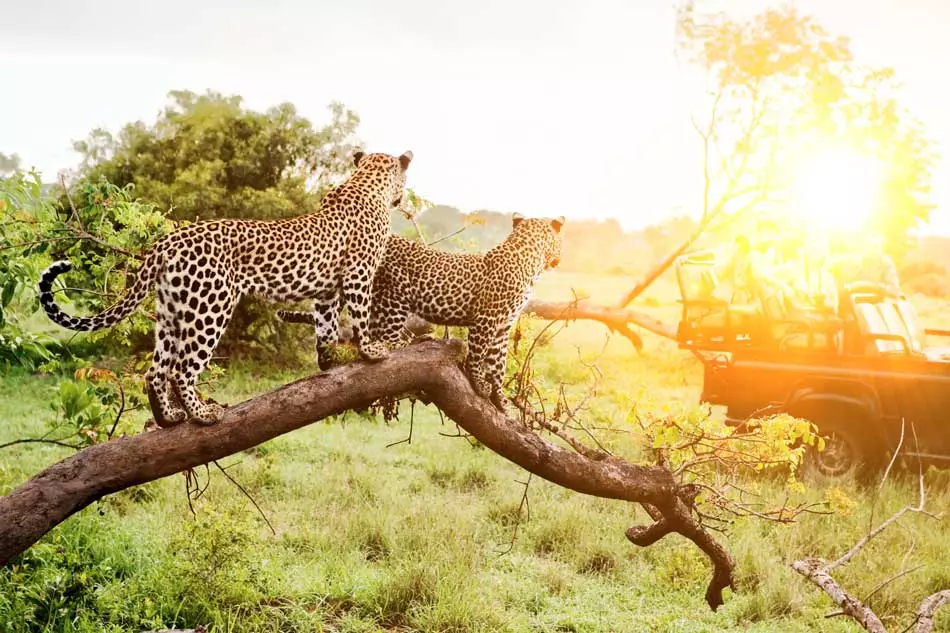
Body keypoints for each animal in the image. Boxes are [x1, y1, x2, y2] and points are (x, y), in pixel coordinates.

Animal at [37, 149, 416, 424]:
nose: (402, 198)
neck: (366, 182)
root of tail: (166, 242)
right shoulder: (358, 274)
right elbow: (361, 316)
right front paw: (371, 351)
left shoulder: (326, 290)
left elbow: (325, 326)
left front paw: (329, 359)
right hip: (210, 307)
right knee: (181, 369)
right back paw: (203, 414)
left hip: (172, 312)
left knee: (155, 371)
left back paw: (169, 417)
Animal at [280, 212, 564, 410]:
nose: (559, 259)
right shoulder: (486, 320)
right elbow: (478, 356)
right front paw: (479, 384)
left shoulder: (503, 327)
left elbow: (498, 364)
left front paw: (501, 400)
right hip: (395, 295)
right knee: (388, 339)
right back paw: (412, 341)